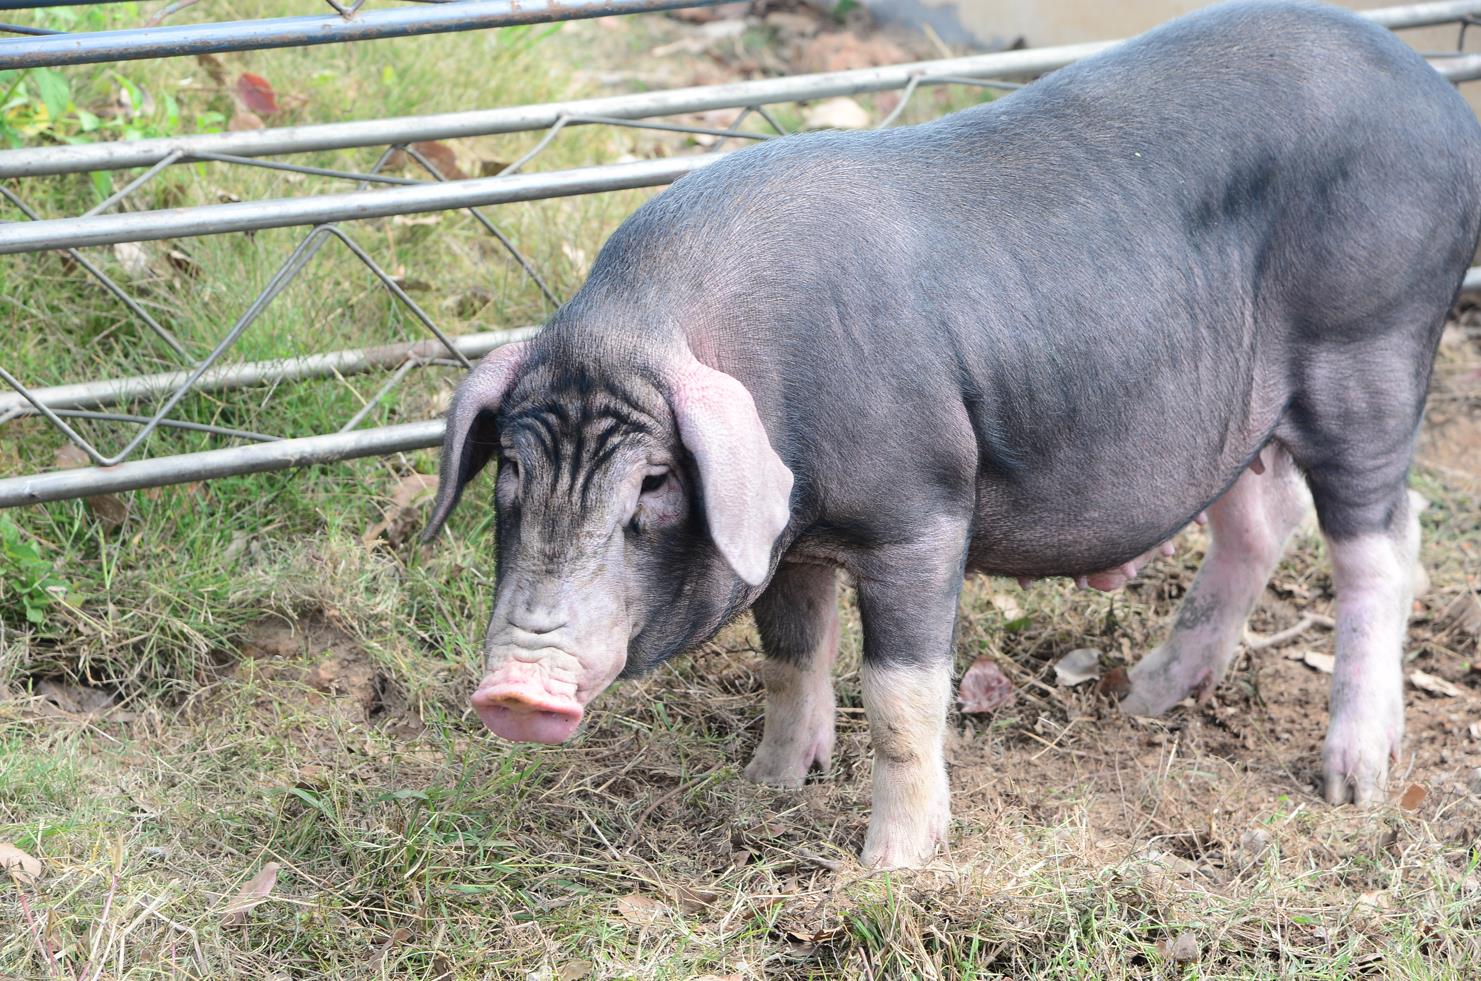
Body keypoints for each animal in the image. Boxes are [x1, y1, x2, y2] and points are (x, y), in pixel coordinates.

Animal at [420, 1, 1481, 877]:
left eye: (650, 484)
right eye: (510, 470)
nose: (513, 689)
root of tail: (1438, 98)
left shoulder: (918, 512)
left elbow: (900, 696)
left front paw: (890, 865)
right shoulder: (785, 537)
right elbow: (790, 655)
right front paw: (768, 784)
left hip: (1369, 350)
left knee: (1384, 545)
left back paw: (1352, 781)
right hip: (1236, 405)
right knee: (1259, 522)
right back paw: (1144, 699)